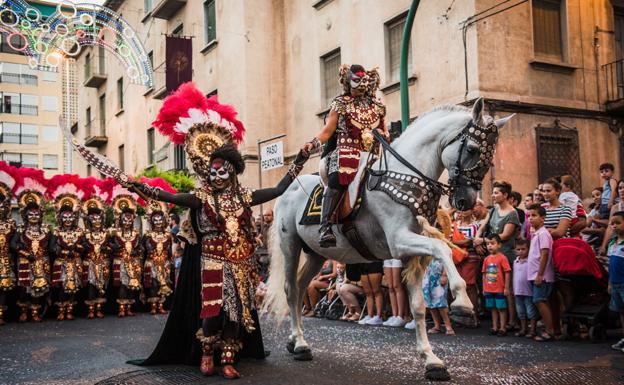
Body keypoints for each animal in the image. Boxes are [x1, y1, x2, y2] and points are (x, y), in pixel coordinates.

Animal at [264, 99, 512, 380]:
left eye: (490, 154)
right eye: (472, 149)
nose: (466, 201)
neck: (404, 176)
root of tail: (289, 189)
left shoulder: (411, 254)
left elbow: (418, 306)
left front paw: (431, 360)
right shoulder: (400, 241)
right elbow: (442, 248)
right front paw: (463, 303)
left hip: (317, 255)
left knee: (300, 288)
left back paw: (296, 340)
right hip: (291, 247)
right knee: (291, 289)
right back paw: (300, 344)